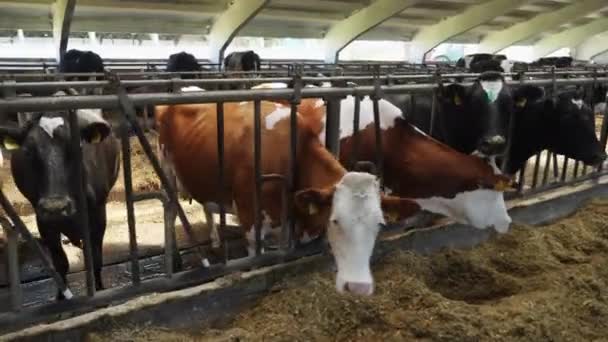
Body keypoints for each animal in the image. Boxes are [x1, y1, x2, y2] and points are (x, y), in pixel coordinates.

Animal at [0, 103, 120, 300]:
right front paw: (61, 297)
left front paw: (100, 288)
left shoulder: (98, 213)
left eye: (77, 147)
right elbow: (60, 263)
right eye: (28, 152)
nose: (55, 207)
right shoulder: (44, 220)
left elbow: (95, 256)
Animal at [156, 97, 418, 296]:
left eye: (380, 224)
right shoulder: (250, 218)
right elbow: (255, 256)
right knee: (170, 212)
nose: (359, 287)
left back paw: (215, 241)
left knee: (207, 207)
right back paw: (175, 259)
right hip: (166, 172)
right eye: (335, 221)